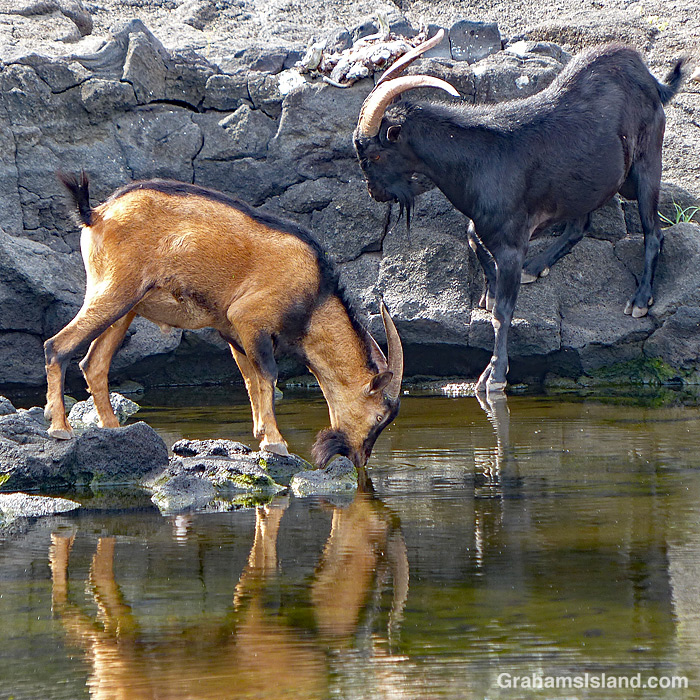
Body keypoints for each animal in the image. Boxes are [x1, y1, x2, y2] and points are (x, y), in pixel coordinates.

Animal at [45, 174, 403, 470]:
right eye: (380, 415)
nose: (359, 459)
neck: (315, 297)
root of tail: (97, 214)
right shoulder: (250, 318)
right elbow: (268, 375)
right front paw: (276, 443)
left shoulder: (233, 331)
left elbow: (250, 379)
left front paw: (261, 433)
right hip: (114, 291)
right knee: (56, 346)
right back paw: (61, 429)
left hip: (126, 306)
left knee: (93, 363)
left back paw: (114, 429)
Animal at [353, 31, 686, 394]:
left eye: (374, 155)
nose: (374, 192)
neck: (474, 159)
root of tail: (652, 81)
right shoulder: (488, 224)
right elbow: (472, 238)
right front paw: (488, 290)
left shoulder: (512, 241)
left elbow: (502, 312)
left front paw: (494, 376)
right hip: (586, 183)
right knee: (579, 224)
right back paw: (537, 266)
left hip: (647, 160)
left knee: (652, 230)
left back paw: (640, 300)